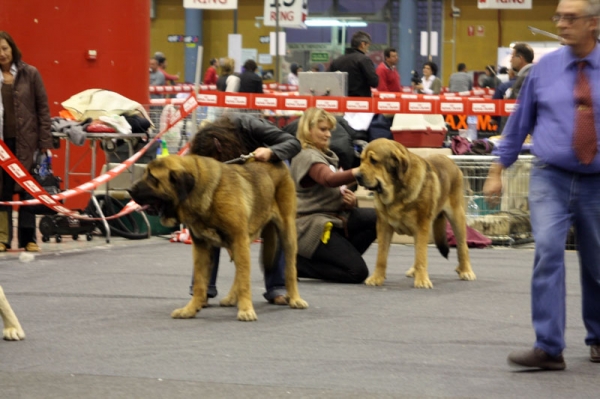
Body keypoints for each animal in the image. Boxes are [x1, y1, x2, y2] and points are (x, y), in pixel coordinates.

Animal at [354, 139, 476, 290]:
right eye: (361, 160)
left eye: (374, 161)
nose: (356, 176)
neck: (396, 191)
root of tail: (450, 160)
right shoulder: (383, 226)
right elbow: (381, 255)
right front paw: (377, 278)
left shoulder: (422, 225)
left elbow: (421, 255)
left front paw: (422, 280)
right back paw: (414, 270)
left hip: (456, 216)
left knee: (462, 246)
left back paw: (465, 271)